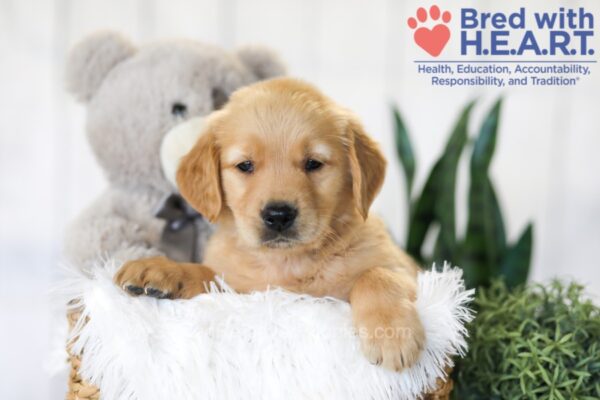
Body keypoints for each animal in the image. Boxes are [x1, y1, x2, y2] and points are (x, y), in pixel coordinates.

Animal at [115, 78, 424, 372]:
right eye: (245, 165)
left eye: (313, 163)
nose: (278, 215)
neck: (288, 262)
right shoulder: (237, 288)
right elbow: (205, 274)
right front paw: (160, 269)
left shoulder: (409, 270)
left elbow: (376, 275)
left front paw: (391, 333)